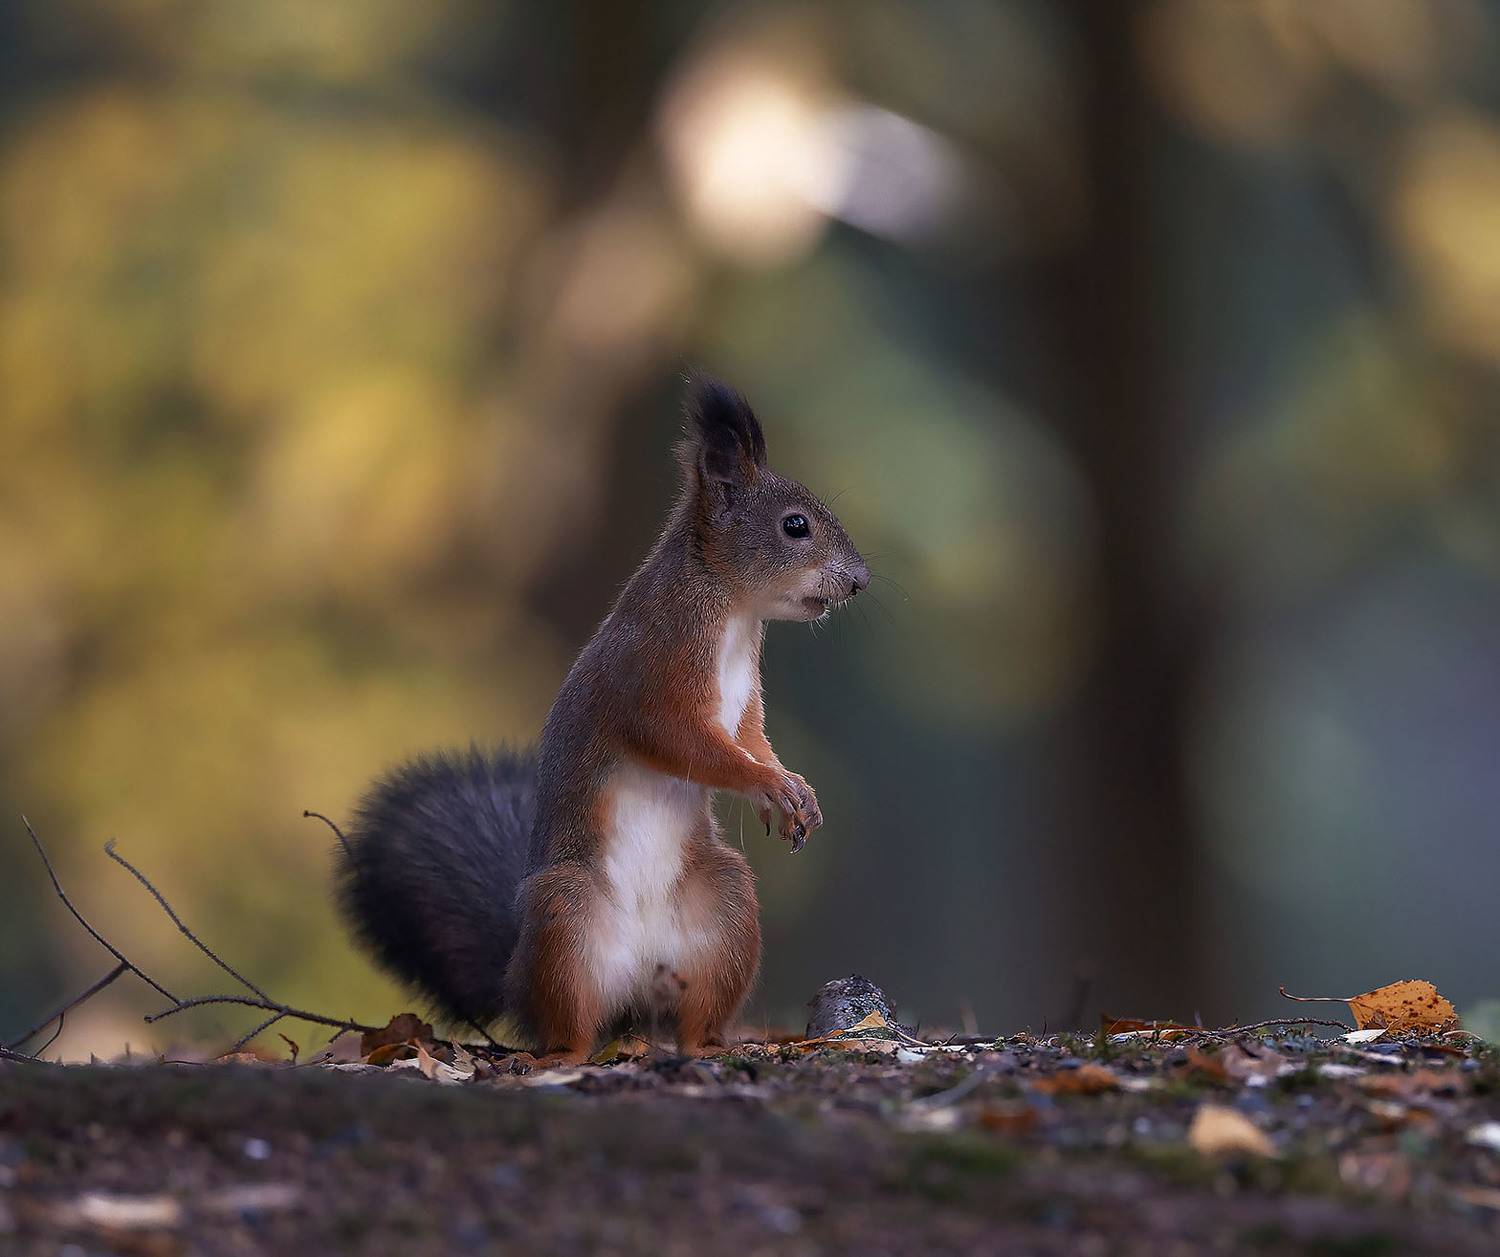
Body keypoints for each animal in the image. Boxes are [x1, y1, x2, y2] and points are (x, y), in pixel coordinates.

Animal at [335, 376, 869, 1062]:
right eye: (794, 526)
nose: (860, 581)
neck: (730, 608)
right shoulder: (650, 673)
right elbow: (684, 742)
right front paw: (768, 785)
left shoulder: (744, 696)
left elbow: (750, 737)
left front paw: (791, 785)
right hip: (566, 918)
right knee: (569, 1026)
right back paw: (562, 1055)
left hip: (725, 908)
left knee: (694, 1014)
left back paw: (709, 1046)